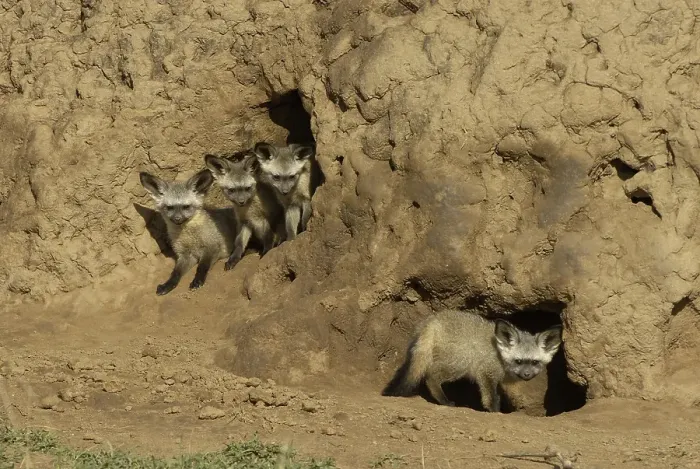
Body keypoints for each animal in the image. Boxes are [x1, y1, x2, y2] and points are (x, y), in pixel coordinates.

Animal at [382, 310, 563, 412]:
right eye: (518, 361)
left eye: (535, 362)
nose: (527, 374)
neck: (499, 355)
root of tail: (433, 322)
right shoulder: (486, 373)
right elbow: (490, 399)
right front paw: (494, 412)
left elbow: (497, 397)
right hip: (460, 363)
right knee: (431, 376)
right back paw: (444, 401)